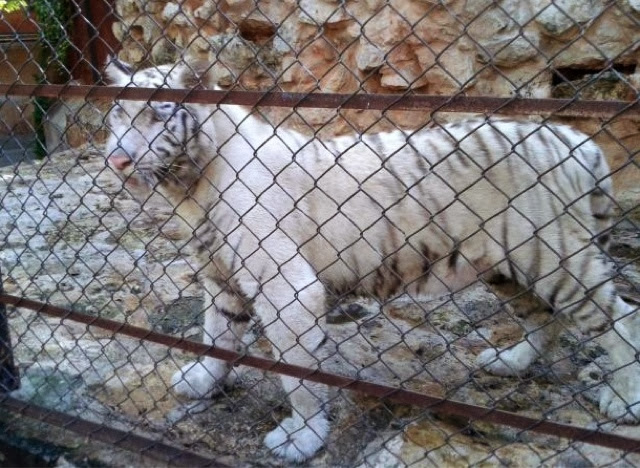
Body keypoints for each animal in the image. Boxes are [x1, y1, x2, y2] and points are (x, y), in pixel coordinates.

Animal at [104, 59, 640, 460]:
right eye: (117, 115)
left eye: (157, 114)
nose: (117, 160)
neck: (189, 182)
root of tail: (577, 139)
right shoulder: (221, 275)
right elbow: (217, 335)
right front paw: (201, 381)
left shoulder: (286, 285)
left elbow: (297, 373)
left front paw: (301, 437)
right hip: (508, 265)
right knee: (544, 319)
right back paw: (509, 362)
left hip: (554, 255)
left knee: (619, 318)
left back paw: (623, 398)